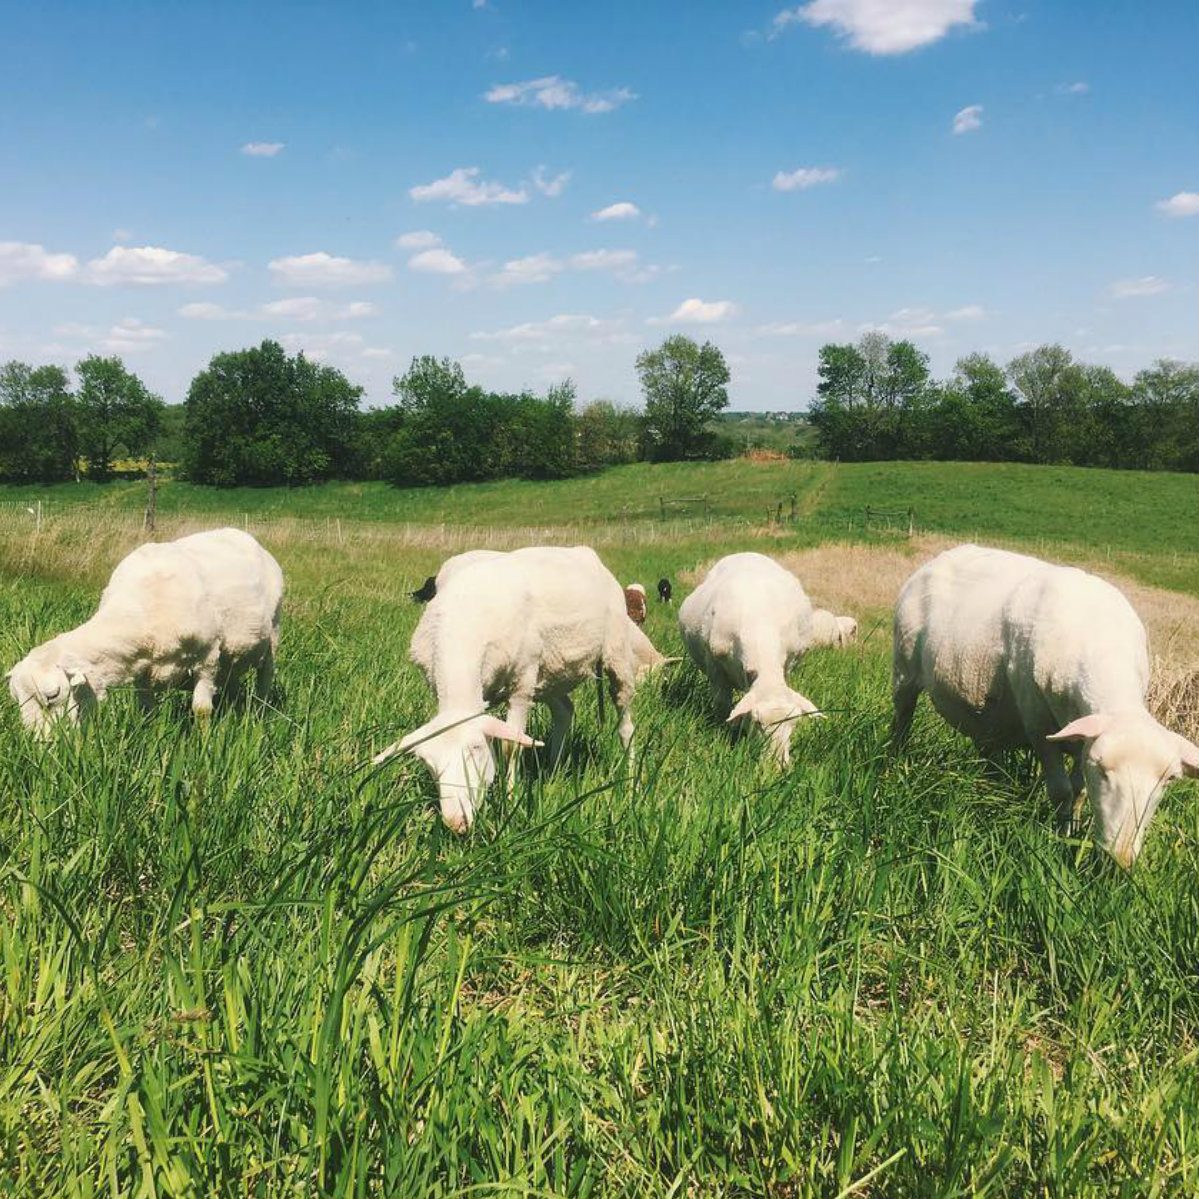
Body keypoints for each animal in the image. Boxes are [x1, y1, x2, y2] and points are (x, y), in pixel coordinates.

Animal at [8, 529, 282, 733]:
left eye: (53, 695)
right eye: (16, 700)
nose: (43, 748)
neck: (140, 610)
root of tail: (243, 535)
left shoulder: (208, 657)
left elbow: (202, 711)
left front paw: (204, 745)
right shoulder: (141, 670)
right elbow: (147, 712)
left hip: (272, 635)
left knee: (265, 676)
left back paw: (260, 713)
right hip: (231, 657)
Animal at [371, 546, 661, 834]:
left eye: (476, 748)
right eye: (429, 763)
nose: (456, 823)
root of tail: (583, 551)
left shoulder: (521, 684)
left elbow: (512, 744)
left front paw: (509, 802)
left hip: (614, 654)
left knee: (625, 724)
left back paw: (630, 781)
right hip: (550, 672)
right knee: (565, 711)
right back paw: (553, 769)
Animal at [681, 553, 820, 762]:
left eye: (794, 723)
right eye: (758, 722)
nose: (777, 765)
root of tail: (746, 554)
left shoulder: (786, 664)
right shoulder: (715, 668)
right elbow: (722, 705)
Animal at [892, 549, 1199, 868]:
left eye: (1170, 779)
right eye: (1101, 769)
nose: (1120, 860)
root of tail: (948, 553)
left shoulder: (1082, 740)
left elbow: (1078, 793)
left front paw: (1071, 831)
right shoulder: (1039, 727)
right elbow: (1061, 791)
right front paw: (1058, 837)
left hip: (985, 709)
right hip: (904, 668)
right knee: (901, 719)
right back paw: (892, 764)